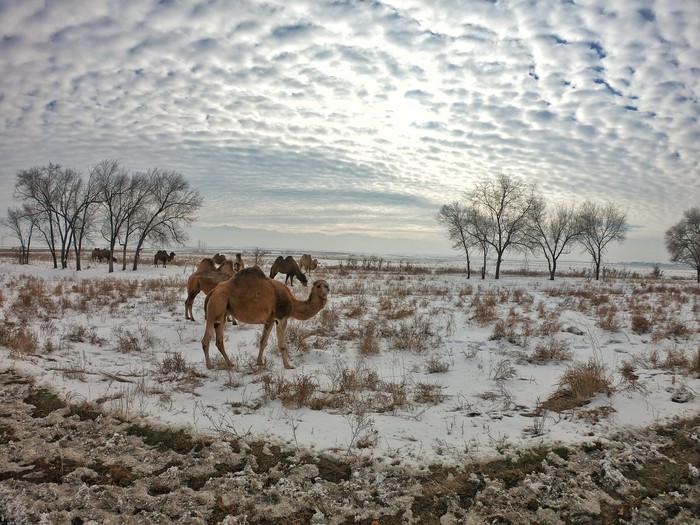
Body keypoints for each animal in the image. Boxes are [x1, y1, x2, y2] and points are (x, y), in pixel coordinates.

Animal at [201, 266, 330, 368]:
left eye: (326, 284)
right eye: (319, 285)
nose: (328, 288)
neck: (293, 303)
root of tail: (213, 291)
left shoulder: (270, 320)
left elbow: (263, 341)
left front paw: (259, 362)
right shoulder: (281, 318)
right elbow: (282, 345)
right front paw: (288, 365)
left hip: (222, 314)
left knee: (219, 340)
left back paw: (230, 364)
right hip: (216, 306)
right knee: (206, 339)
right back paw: (209, 365)